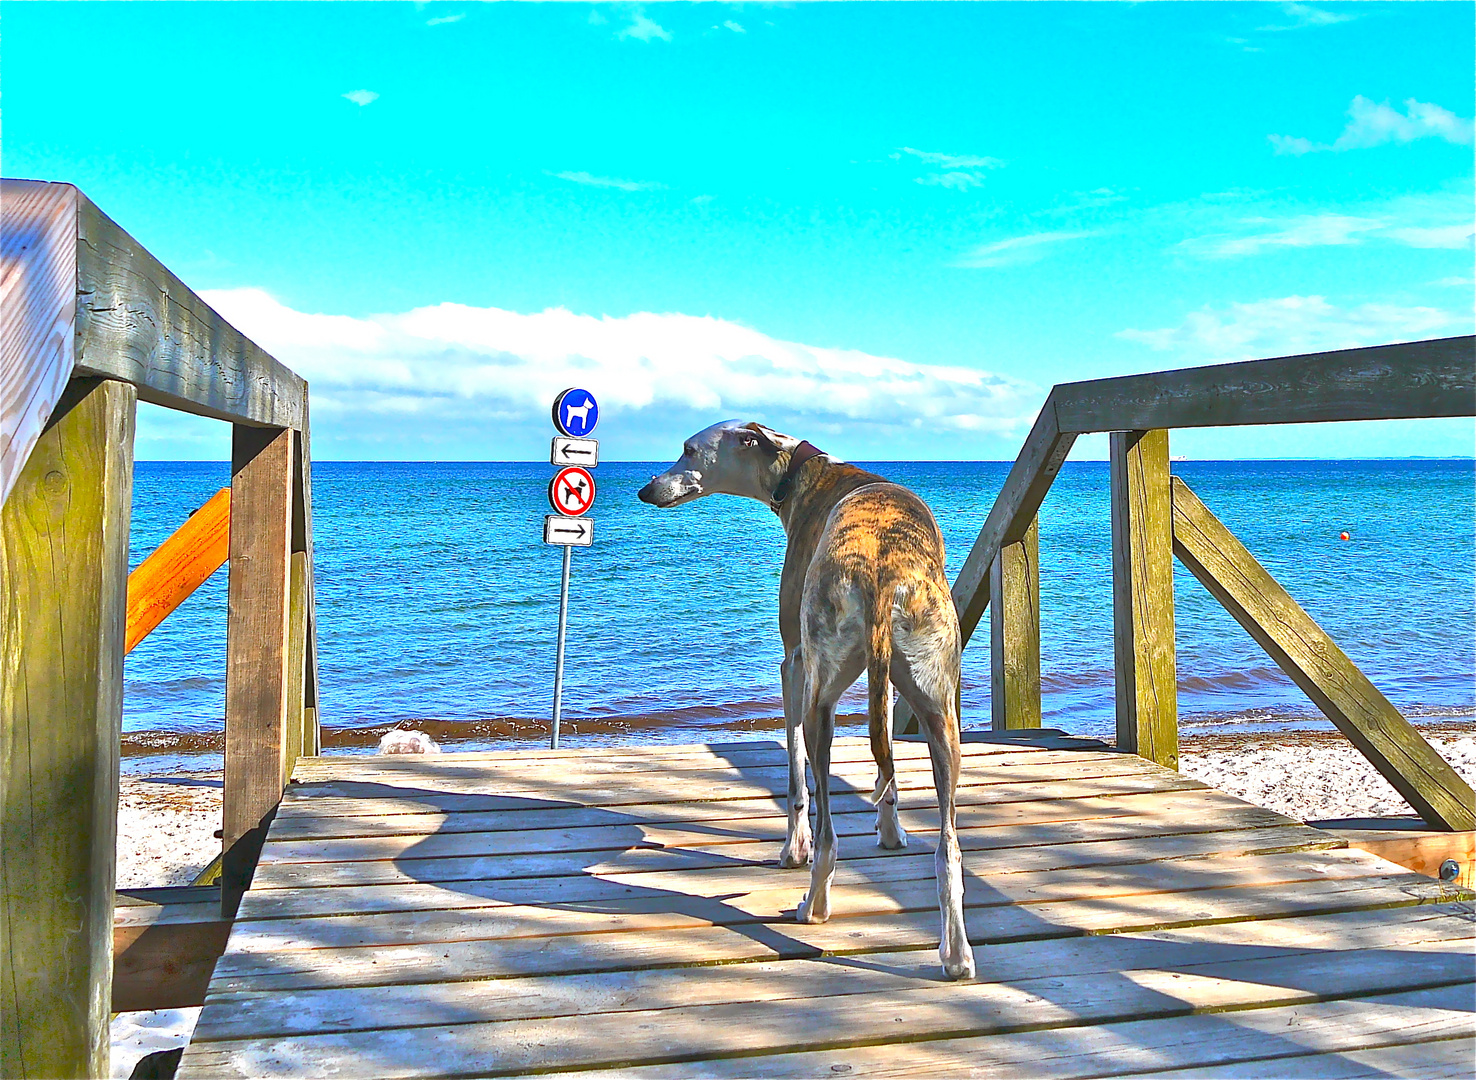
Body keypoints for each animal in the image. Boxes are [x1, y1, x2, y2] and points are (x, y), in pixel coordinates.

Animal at [640, 419, 974, 979]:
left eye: (688, 449)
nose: (647, 489)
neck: (804, 473)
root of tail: (883, 574)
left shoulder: (794, 666)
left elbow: (796, 775)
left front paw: (791, 847)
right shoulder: (884, 689)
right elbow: (886, 762)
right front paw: (890, 831)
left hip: (821, 697)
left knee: (829, 835)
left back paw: (812, 904)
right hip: (940, 712)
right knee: (947, 850)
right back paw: (956, 955)